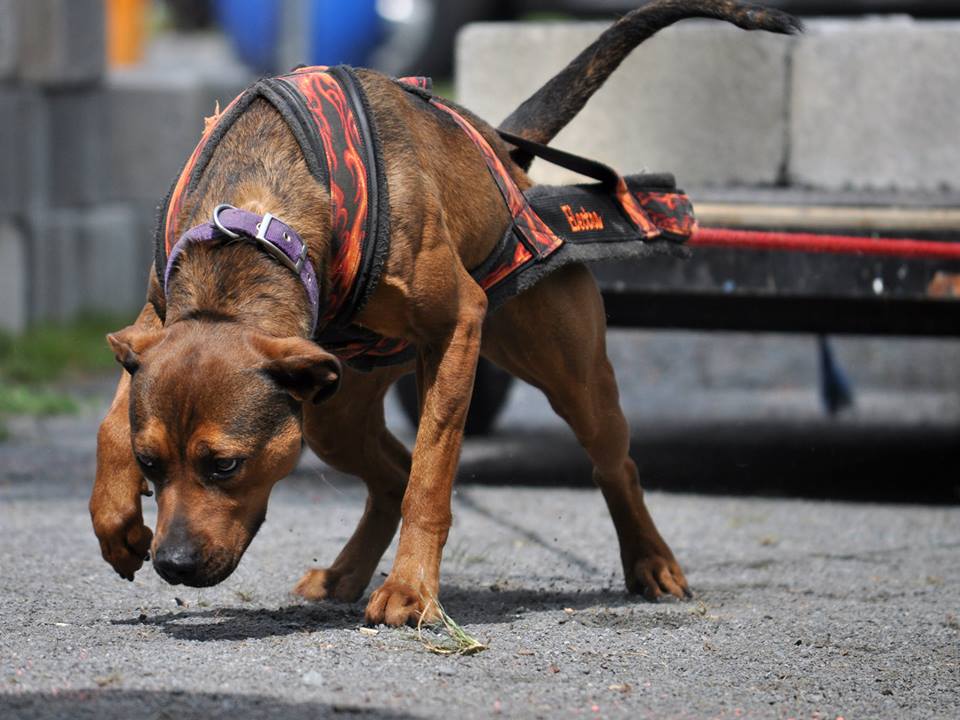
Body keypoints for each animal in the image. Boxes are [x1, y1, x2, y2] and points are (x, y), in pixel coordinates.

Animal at [90, 1, 800, 624]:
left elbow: (431, 479)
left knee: (611, 465)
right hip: (330, 410)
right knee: (389, 478)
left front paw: (410, 589)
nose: (173, 565)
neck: (254, 223)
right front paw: (114, 517)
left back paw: (651, 561)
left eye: (225, 465)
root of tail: (503, 153)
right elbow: (110, 421)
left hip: (571, 379)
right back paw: (345, 573)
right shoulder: (154, 321)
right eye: (151, 463)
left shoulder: (457, 327)